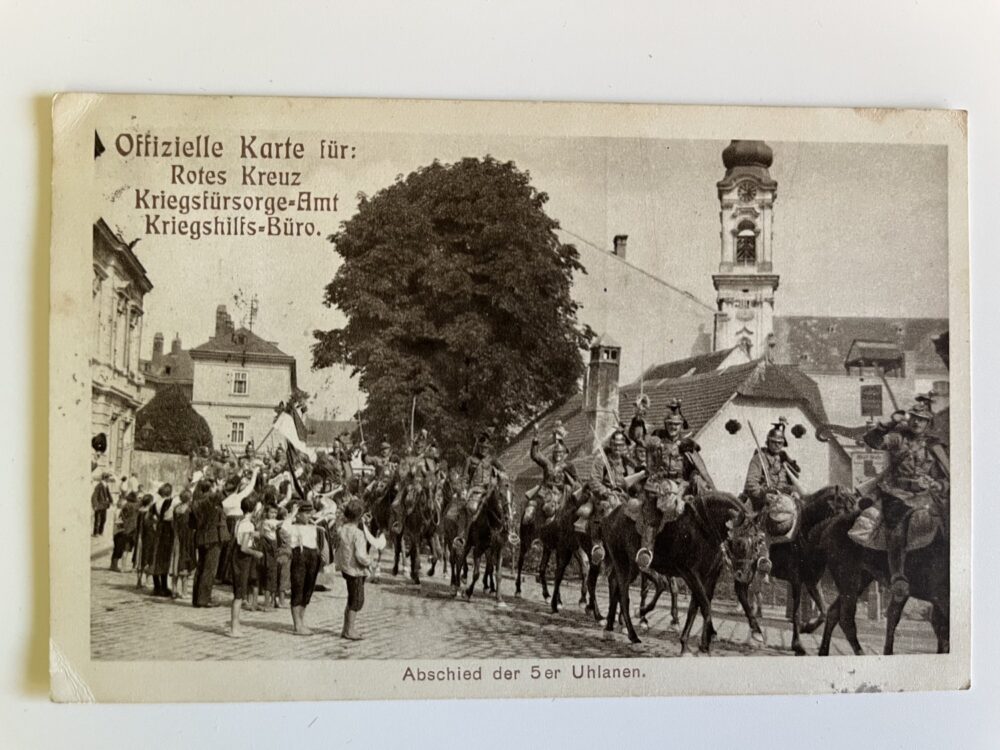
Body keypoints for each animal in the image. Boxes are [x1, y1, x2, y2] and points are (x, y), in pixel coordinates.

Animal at [602, 491, 768, 654]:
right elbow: (705, 605)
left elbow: (695, 606)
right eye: (739, 542)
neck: (703, 528)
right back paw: (633, 635)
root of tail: (609, 517)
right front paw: (703, 644)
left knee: (615, 586)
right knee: (624, 596)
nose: (744, 575)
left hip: (632, 567)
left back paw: (610, 628)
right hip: (622, 562)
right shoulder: (689, 573)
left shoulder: (708, 575)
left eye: (758, 542)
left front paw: (692, 645)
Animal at [816, 499, 949, 656]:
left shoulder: (938, 600)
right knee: (846, 619)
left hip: (860, 580)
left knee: (833, 612)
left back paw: (823, 651)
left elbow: (941, 632)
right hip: (848, 578)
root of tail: (829, 527)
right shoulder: (941, 598)